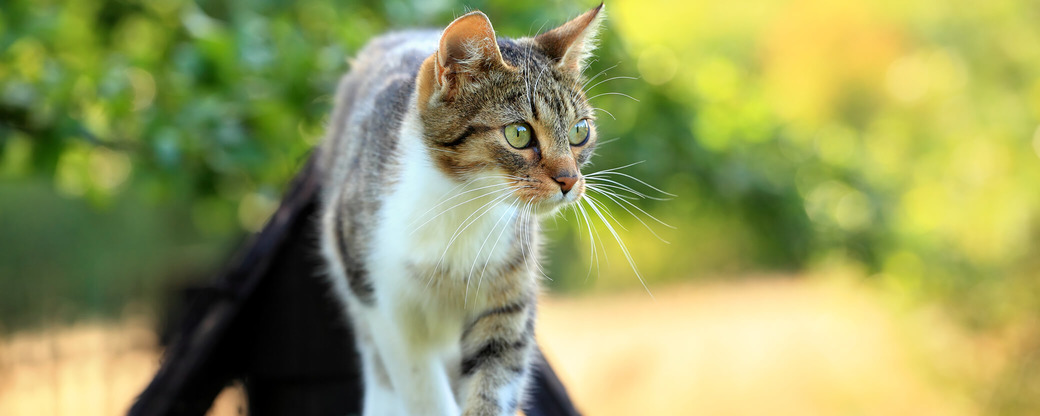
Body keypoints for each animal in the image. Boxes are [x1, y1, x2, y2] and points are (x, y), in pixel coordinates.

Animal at [320, 4, 607, 416]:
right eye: (519, 134)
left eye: (580, 131)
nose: (569, 181)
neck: (464, 205)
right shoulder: (386, 302)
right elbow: (422, 390)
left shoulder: (508, 299)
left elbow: (494, 379)